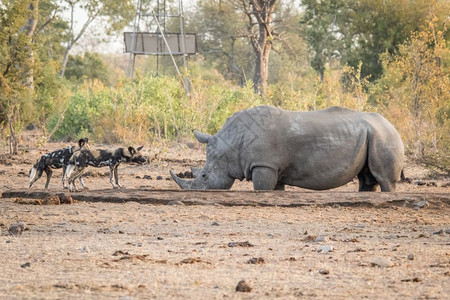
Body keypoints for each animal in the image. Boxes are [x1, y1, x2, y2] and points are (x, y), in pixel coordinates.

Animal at [171, 105, 404, 190]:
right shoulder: (273, 168)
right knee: (367, 179)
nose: (195, 192)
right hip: (374, 135)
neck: (230, 145)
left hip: (384, 137)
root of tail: (392, 125)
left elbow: (261, 189)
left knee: (385, 180)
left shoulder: (263, 165)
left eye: (203, 177)